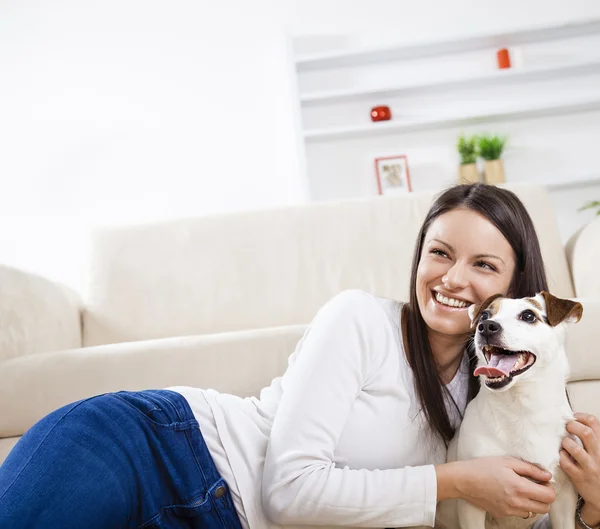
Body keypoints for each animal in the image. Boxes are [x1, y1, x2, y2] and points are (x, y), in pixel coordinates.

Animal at [440, 290, 580, 528]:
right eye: (485, 314)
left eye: (529, 316)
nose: (486, 326)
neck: (522, 407)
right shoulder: (472, 502)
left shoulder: (564, 499)